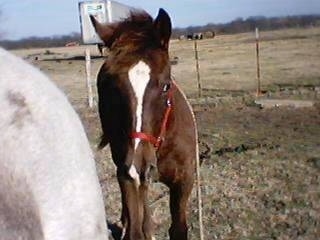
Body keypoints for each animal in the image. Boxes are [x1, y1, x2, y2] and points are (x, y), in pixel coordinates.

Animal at [90, 7, 199, 240]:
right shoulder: (128, 175)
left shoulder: (184, 180)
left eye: (166, 86)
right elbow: (135, 228)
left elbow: (178, 228)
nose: (139, 163)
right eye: (113, 87)